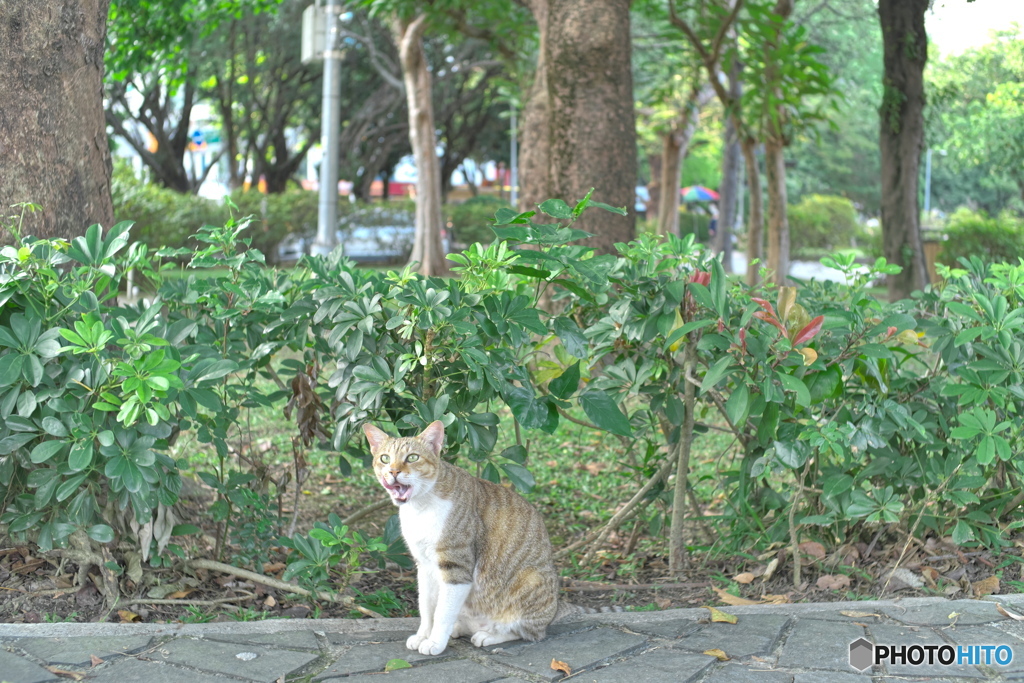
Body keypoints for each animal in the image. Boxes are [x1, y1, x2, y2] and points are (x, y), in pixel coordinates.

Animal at [362, 421, 561, 655]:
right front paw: (423, 635)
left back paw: (488, 635)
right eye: (385, 458)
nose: (393, 471)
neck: (420, 507)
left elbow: (442, 612)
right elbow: (426, 607)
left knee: (526, 632)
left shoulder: (455, 566)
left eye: (412, 457)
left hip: (529, 580)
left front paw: (435, 642)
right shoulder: (424, 565)